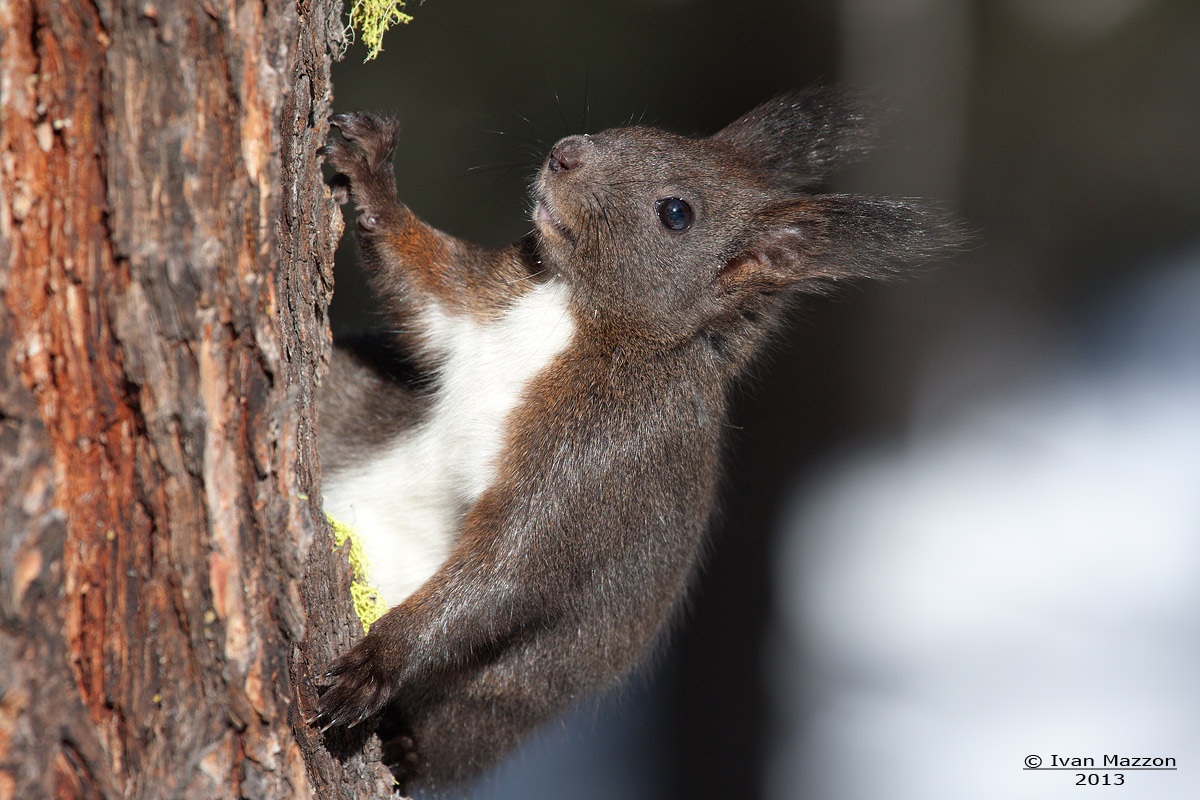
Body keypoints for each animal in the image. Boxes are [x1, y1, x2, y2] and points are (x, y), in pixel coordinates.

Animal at [313, 89, 961, 793]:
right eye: (635, 130)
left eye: (675, 213)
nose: (565, 152)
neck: (580, 314)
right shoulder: (479, 305)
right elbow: (417, 275)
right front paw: (370, 171)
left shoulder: (607, 455)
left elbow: (509, 571)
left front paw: (375, 662)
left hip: (488, 710)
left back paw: (405, 747)